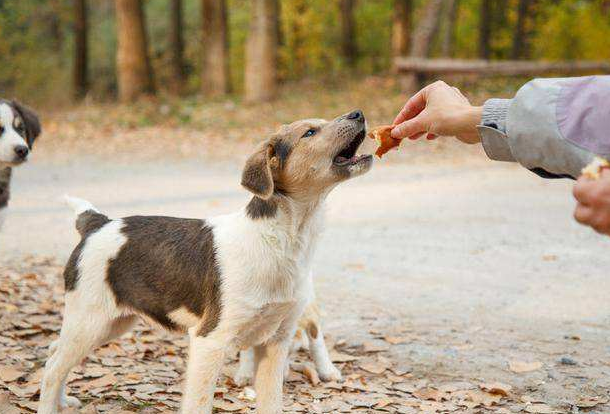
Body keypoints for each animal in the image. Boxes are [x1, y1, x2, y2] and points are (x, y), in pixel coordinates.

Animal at [39, 109, 370, 414]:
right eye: (310, 133)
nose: (358, 113)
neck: (279, 240)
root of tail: (97, 223)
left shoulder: (275, 343)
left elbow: (271, 403)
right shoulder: (210, 340)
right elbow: (199, 403)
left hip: (110, 323)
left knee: (54, 352)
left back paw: (63, 401)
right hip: (90, 320)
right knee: (53, 367)